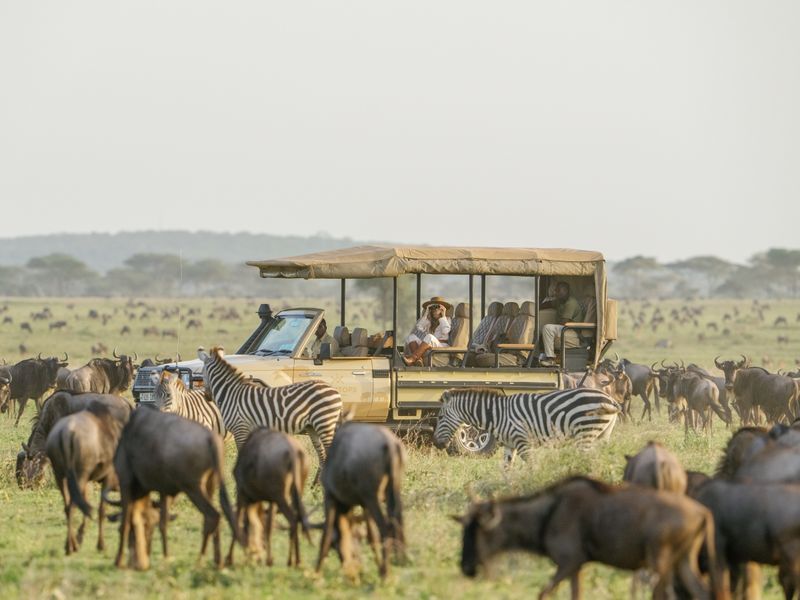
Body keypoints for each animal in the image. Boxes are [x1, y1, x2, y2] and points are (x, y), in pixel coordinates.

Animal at [200, 347, 343, 468]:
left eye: (201, 374)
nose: (207, 397)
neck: (231, 393)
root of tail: (335, 391)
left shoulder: (240, 428)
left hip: (324, 422)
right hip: (314, 426)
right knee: (322, 456)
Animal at [433, 387, 621, 467]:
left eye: (440, 417)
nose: (436, 444)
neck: (497, 414)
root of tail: (611, 399)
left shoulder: (523, 441)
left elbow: (532, 466)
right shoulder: (510, 445)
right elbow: (506, 468)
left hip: (585, 433)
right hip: (602, 435)